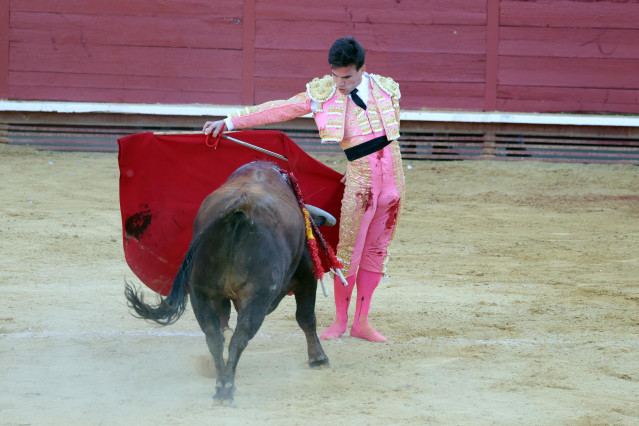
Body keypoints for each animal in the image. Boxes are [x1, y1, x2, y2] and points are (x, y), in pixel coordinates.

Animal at [128, 160, 332, 402]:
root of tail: (239, 207)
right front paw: (319, 358)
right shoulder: (306, 274)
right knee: (240, 336)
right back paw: (227, 388)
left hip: (201, 293)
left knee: (214, 337)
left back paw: (220, 383)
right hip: (256, 297)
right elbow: (306, 317)